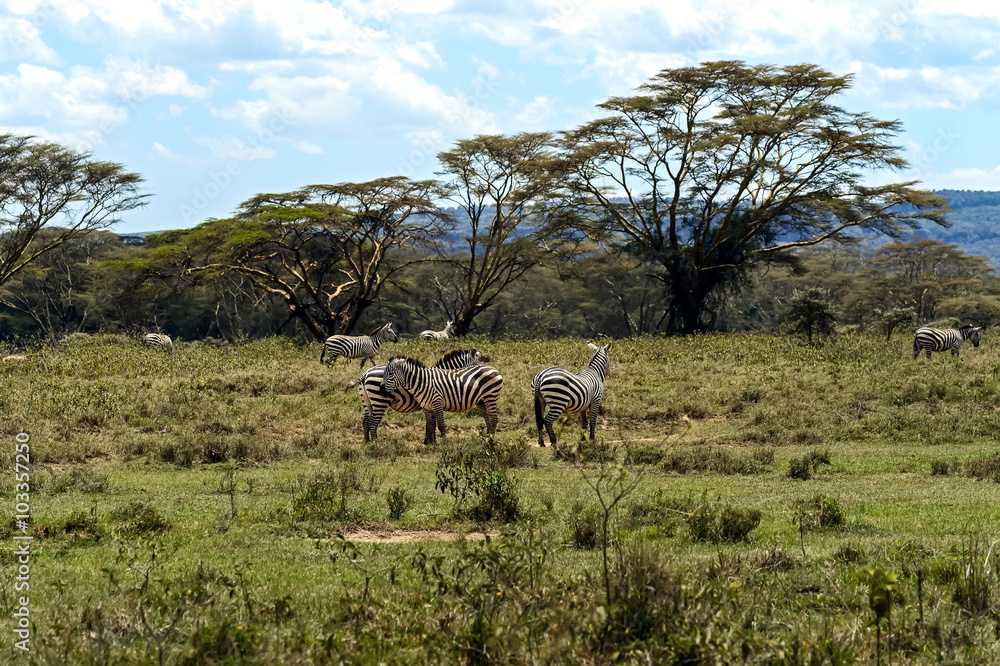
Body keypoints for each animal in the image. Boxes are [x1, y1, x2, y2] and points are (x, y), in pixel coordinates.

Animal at [346, 349, 480, 442]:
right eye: (477, 365)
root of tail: (365, 373)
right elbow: (433, 423)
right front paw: (431, 441)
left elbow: (431, 423)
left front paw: (430, 441)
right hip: (379, 401)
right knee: (373, 423)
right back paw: (376, 443)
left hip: (367, 400)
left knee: (365, 421)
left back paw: (367, 442)